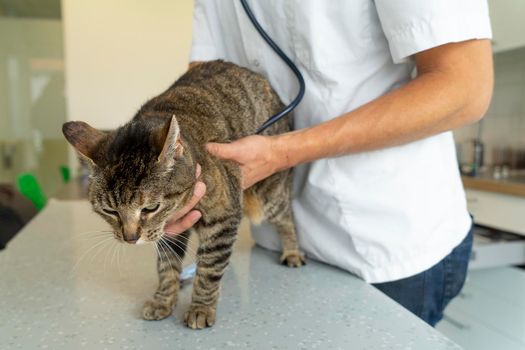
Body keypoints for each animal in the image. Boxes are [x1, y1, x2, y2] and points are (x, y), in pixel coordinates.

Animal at [63, 60, 304, 330]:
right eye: (110, 211)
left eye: (150, 208)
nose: (130, 238)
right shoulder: (170, 232)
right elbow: (167, 266)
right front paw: (164, 299)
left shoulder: (223, 217)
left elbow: (209, 268)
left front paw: (201, 307)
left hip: (269, 196)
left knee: (286, 218)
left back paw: (292, 251)